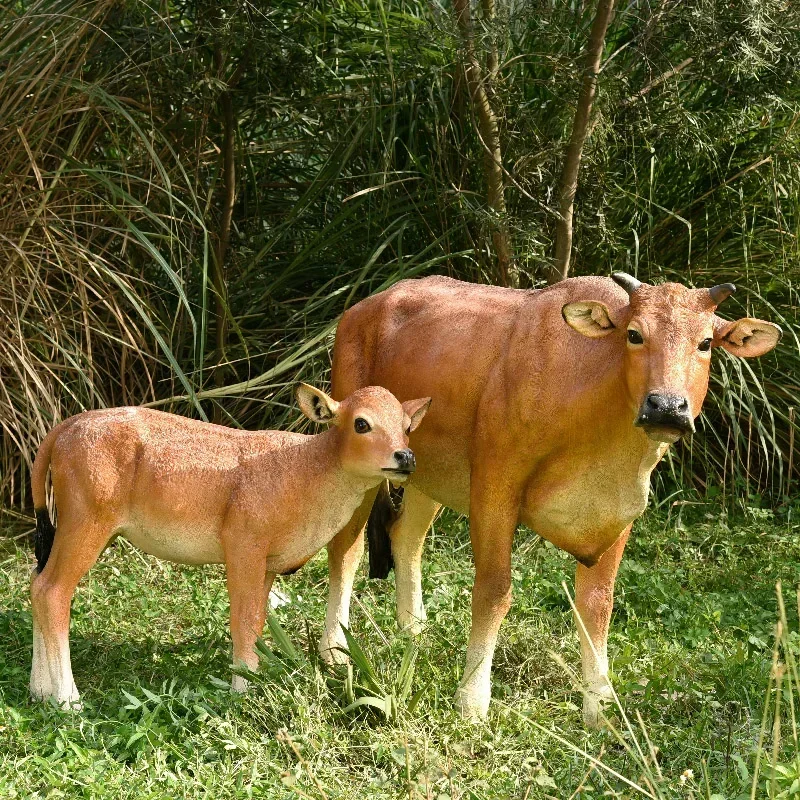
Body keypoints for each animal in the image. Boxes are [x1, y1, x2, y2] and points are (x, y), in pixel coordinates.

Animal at [28, 384, 430, 707]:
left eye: (407, 427)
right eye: (361, 423)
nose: (405, 457)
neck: (305, 469)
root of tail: (66, 427)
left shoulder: (268, 564)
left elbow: (258, 621)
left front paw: (257, 678)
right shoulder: (243, 547)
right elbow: (243, 619)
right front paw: (243, 689)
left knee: (36, 585)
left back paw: (40, 689)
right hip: (86, 525)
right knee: (53, 591)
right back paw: (66, 698)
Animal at [316, 273, 781, 727]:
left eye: (706, 343)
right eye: (634, 334)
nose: (666, 406)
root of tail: (366, 305)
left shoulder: (619, 511)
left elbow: (597, 604)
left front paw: (601, 707)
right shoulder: (495, 485)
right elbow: (494, 590)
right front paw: (472, 700)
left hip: (425, 472)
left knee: (406, 536)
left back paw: (413, 629)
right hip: (358, 463)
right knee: (346, 549)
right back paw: (334, 651)